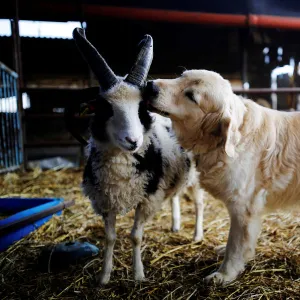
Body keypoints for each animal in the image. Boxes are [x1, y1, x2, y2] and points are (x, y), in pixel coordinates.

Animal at [72, 27, 204, 284]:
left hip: (194, 175)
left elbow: (135, 236)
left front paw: (139, 275)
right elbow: (110, 238)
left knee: (199, 202)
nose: (133, 141)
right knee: (175, 195)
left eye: (142, 108)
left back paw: (196, 235)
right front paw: (104, 277)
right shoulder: (104, 200)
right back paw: (175, 225)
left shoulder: (147, 198)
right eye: (105, 108)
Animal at [144, 69, 298, 284]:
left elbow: (235, 245)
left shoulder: (243, 207)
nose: (149, 86)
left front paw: (224, 274)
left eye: (191, 96)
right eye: (181, 76)